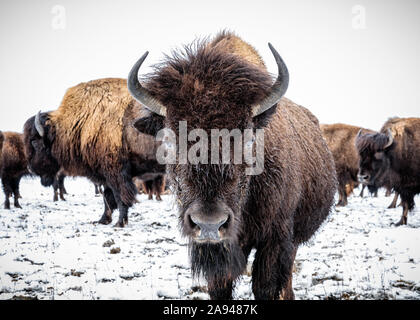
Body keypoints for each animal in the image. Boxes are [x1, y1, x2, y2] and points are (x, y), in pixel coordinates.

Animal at [22, 78, 164, 228]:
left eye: (35, 142)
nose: (30, 168)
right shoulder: (105, 176)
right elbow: (107, 198)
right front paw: (102, 220)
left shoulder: (116, 174)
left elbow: (120, 198)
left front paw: (119, 223)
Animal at [126, 31, 336, 298]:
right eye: (169, 139)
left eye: (248, 139)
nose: (209, 224)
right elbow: (220, 286)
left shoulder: (276, 238)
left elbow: (265, 286)